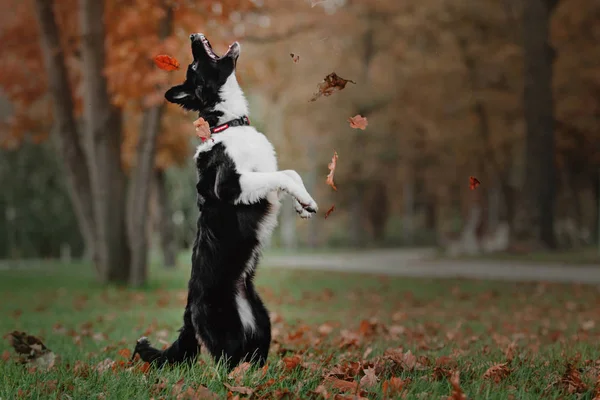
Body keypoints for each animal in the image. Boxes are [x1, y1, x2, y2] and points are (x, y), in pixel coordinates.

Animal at [131, 32, 318, 370]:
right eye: (194, 65)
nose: (193, 35)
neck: (228, 123)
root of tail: (188, 312)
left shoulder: (264, 173)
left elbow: (290, 173)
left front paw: (304, 204)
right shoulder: (232, 185)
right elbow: (282, 175)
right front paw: (303, 201)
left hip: (262, 322)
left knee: (253, 359)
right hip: (226, 332)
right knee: (226, 366)